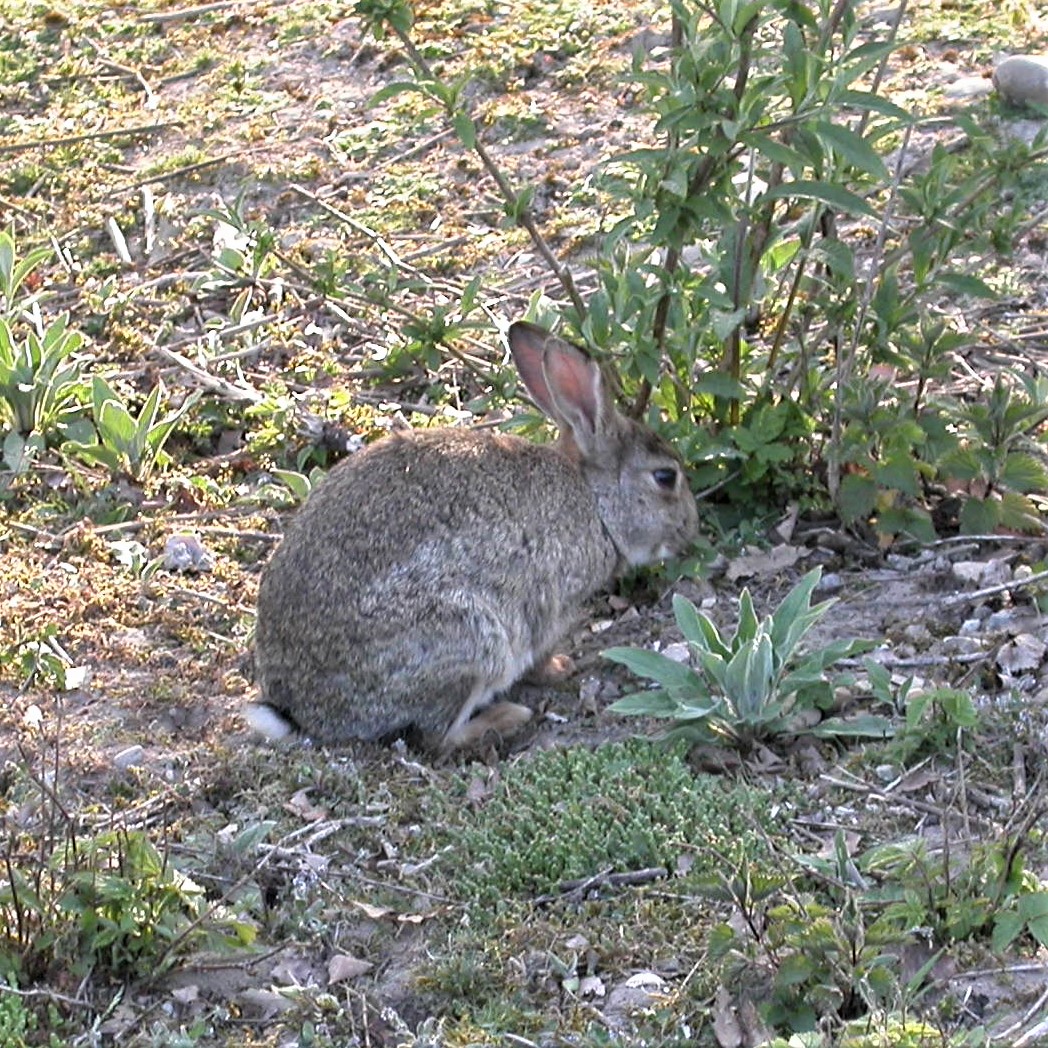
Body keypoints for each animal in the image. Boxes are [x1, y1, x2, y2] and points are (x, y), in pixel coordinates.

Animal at [246, 320, 699, 752]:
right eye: (665, 477)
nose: (690, 531)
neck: (592, 497)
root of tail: (306, 713)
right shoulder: (551, 601)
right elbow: (541, 648)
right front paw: (559, 668)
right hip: (471, 641)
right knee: (435, 739)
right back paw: (505, 718)